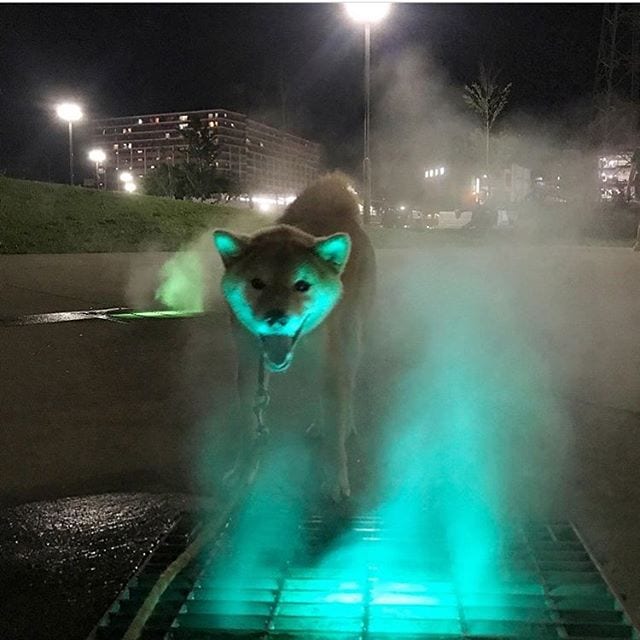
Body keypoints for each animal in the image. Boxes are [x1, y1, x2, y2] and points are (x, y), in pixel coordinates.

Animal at [214, 174, 376, 500]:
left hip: (351, 339)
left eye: (302, 285)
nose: (276, 318)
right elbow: (249, 426)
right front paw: (243, 470)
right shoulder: (249, 367)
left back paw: (345, 424)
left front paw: (335, 477)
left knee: (348, 388)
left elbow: (335, 431)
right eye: (257, 283)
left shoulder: (332, 362)